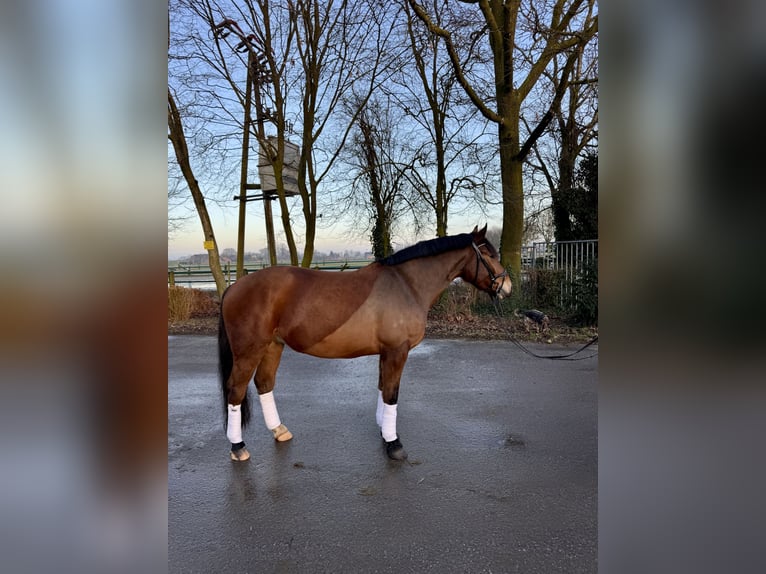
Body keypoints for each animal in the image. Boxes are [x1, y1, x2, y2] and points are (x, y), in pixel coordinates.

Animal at [219, 226, 512, 464]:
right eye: (490, 255)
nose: (507, 286)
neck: (406, 285)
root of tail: (235, 286)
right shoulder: (397, 351)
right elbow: (392, 394)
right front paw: (394, 445)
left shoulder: (387, 352)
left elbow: (383, 388)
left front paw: (384, 432)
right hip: (249, 350)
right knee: (236, 390)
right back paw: (238, 446)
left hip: (272, 346)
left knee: (264, 384)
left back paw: (279, 431)